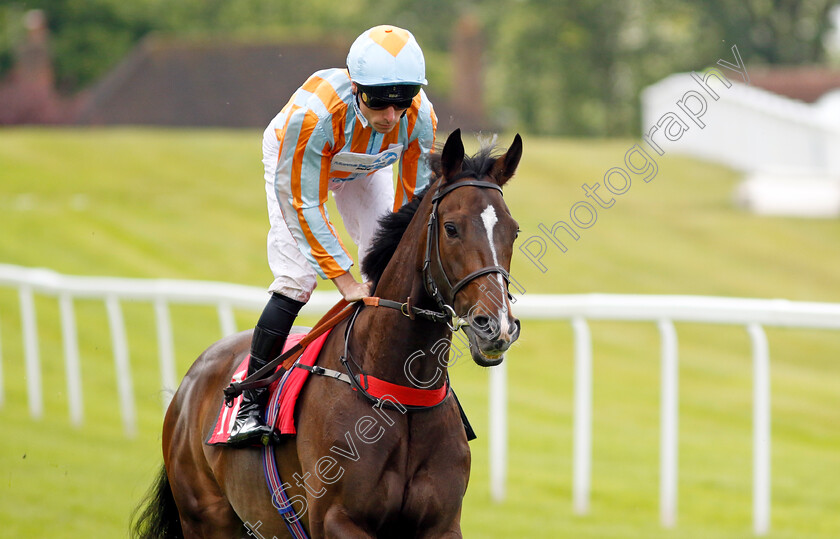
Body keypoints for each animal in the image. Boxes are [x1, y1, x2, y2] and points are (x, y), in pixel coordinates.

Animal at [132, 131, 520, 539]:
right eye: (451, 228)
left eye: (513, 231)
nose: (496, 325)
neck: (400, 394)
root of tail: (188, 386)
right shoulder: (338, 519)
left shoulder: (442, 525)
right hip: (205, 517)